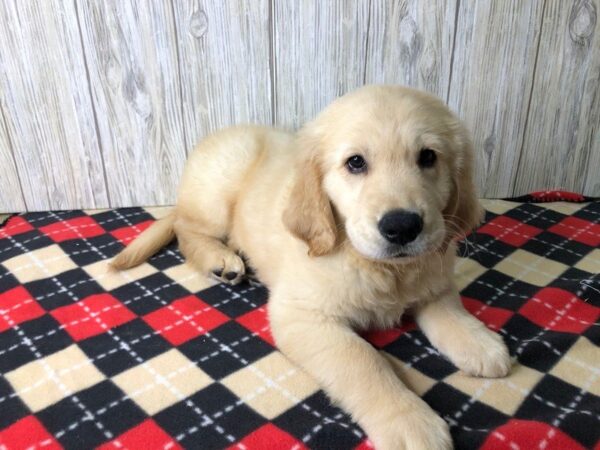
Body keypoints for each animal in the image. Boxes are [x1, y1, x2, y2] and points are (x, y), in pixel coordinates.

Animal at [112, 85, 510, 450]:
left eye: (428, 157)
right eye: (355, 163)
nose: (402, 227)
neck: (379, 267)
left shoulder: (433, 274)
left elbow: (448, 306)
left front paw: (478, 342)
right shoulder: (301, 315)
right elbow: (362, 360)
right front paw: (409, 421)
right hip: (216, 192)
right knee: (185, 228)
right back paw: (219, 260)